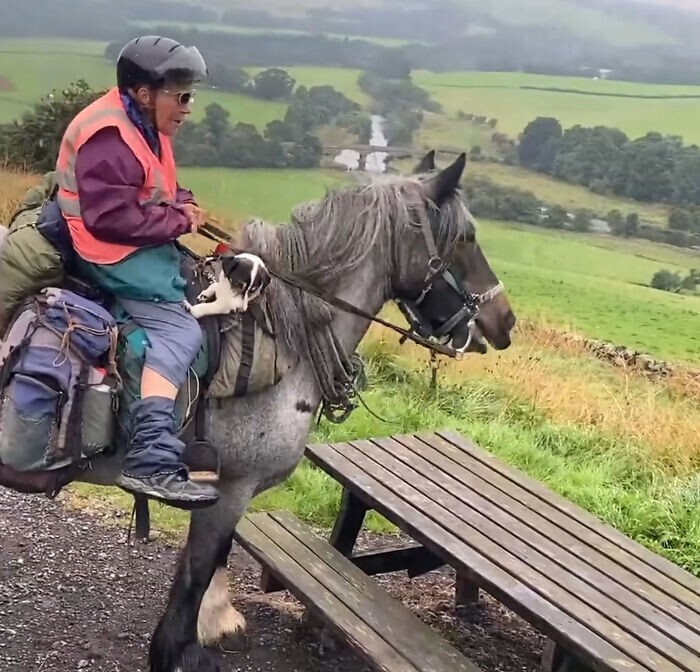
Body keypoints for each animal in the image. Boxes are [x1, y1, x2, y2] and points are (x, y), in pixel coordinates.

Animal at [47, 150, 516, 668]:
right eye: (467, 238)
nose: (506, 322)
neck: (286, 338)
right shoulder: (229, 490)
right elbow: (192, 583)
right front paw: (189, 640)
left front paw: (216, 619)